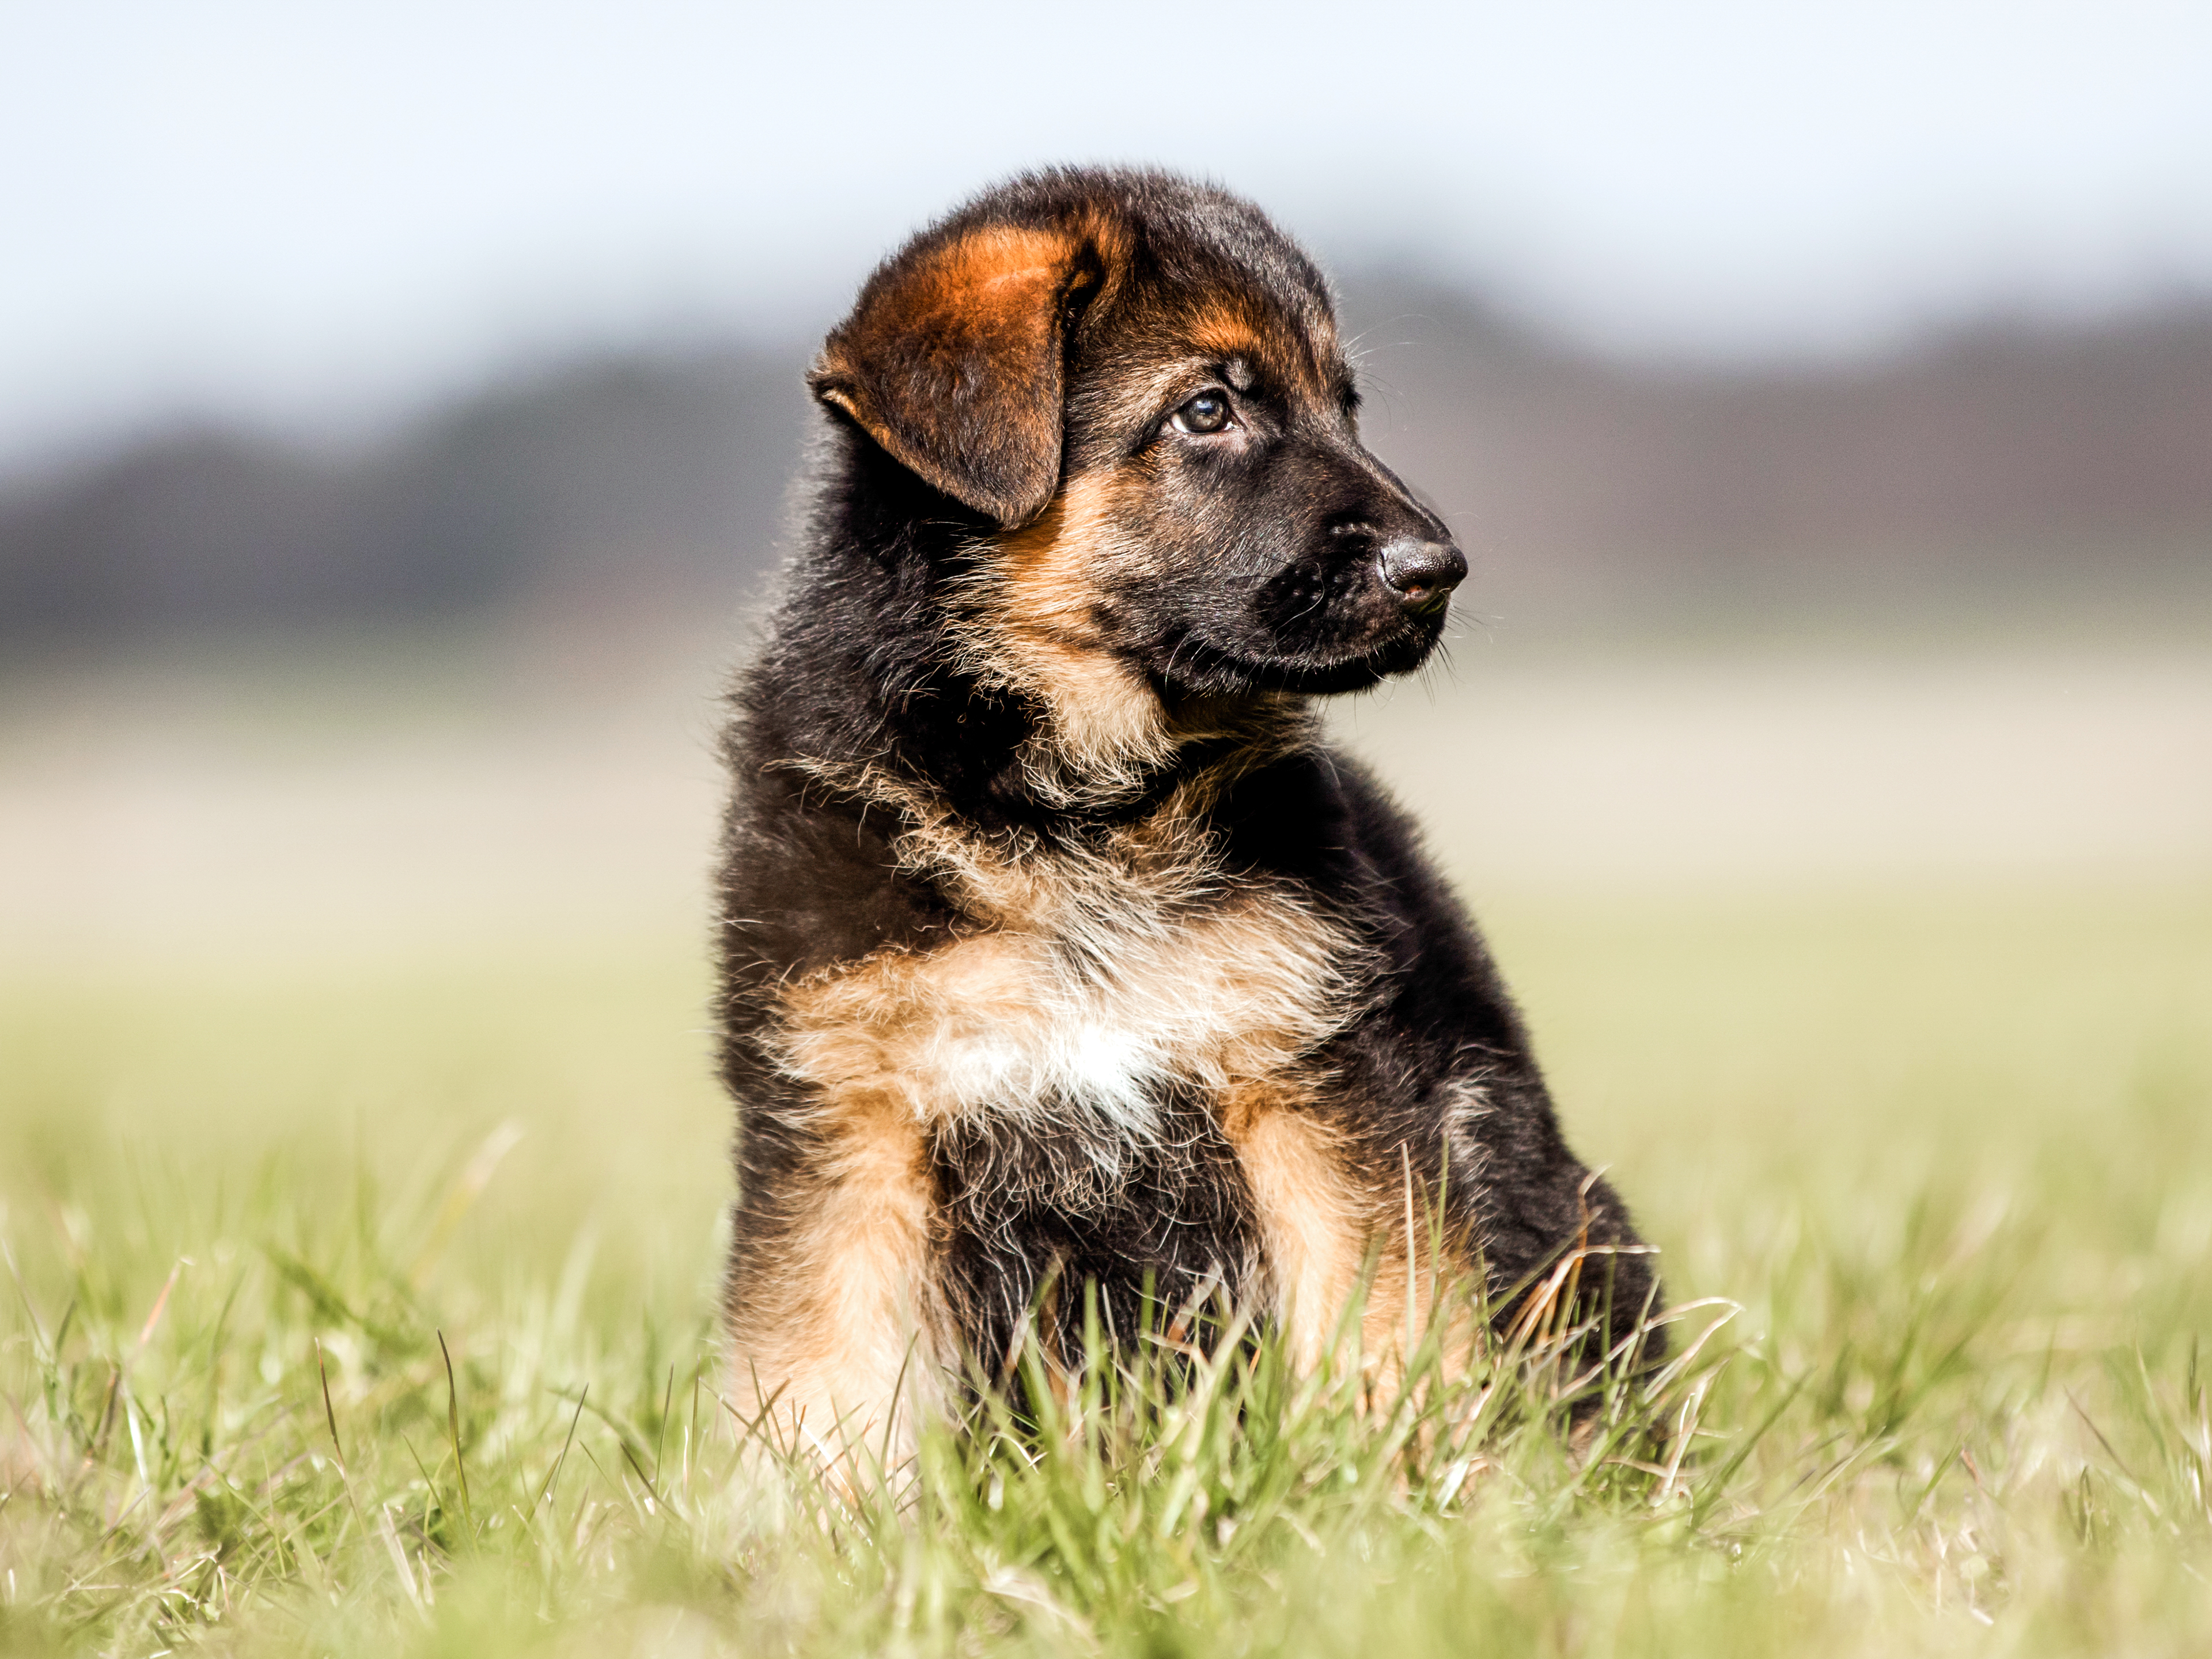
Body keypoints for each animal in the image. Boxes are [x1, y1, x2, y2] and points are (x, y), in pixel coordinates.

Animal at [717, 166, 1654, 1451]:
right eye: (1207, 410)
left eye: (1345, 406)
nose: (1437, 569)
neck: (1069, 819)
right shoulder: (851, 1133)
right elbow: (824, 1391)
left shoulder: (1312, 1085)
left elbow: (1380, 1332)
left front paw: (1388, 1493)